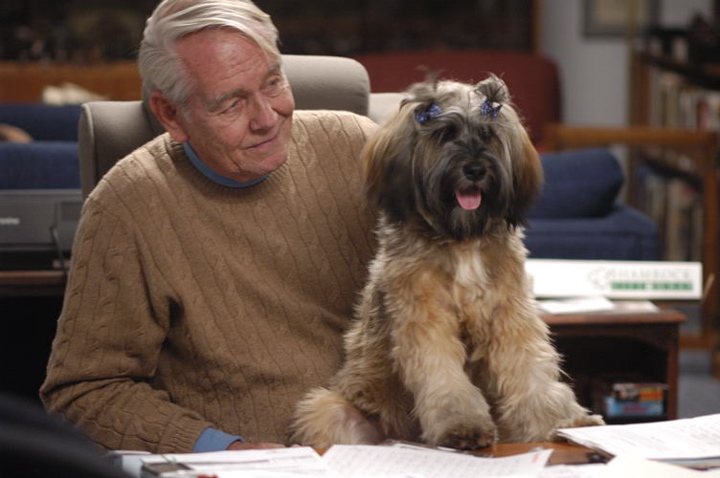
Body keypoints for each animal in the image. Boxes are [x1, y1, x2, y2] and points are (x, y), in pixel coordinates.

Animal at [290, 76, 604, 450]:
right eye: (445, 134)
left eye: (487, 134)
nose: (475, 169)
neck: (460, 237)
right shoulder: (425, 318)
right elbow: (442, 375)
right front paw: (461, 426)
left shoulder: (510, 315)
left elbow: (531, 369)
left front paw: (561, 421)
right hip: (328, 410)